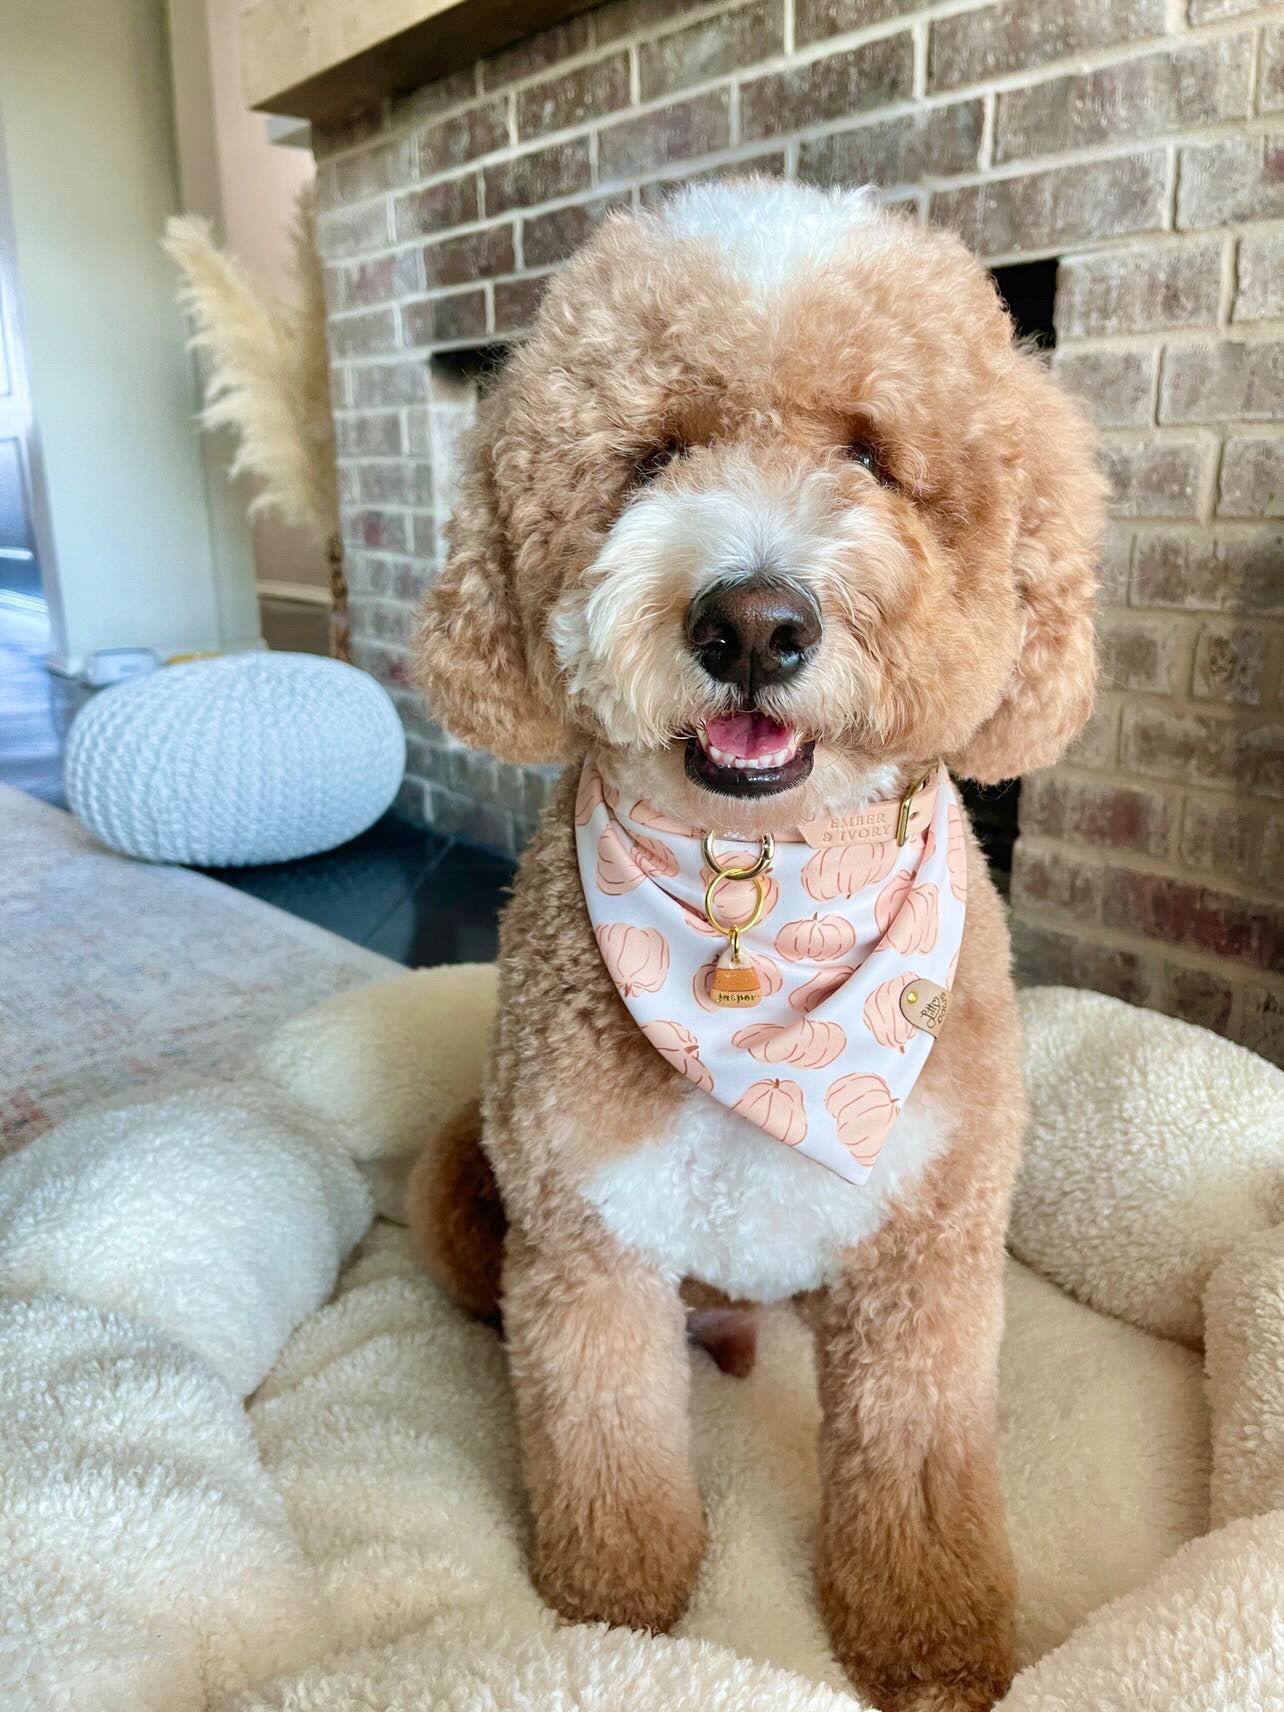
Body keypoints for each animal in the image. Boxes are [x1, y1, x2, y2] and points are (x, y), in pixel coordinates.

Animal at [409, 177, 1109, 1712]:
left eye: (874, 453)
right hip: (460, 1190)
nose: (752, 621)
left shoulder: (927, 1257)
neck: (762, 898)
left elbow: (915, 1470)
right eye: (652, 453)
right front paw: (612, 1621)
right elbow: (605, 1448)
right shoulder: (586, 1245)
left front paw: (932, 1648)